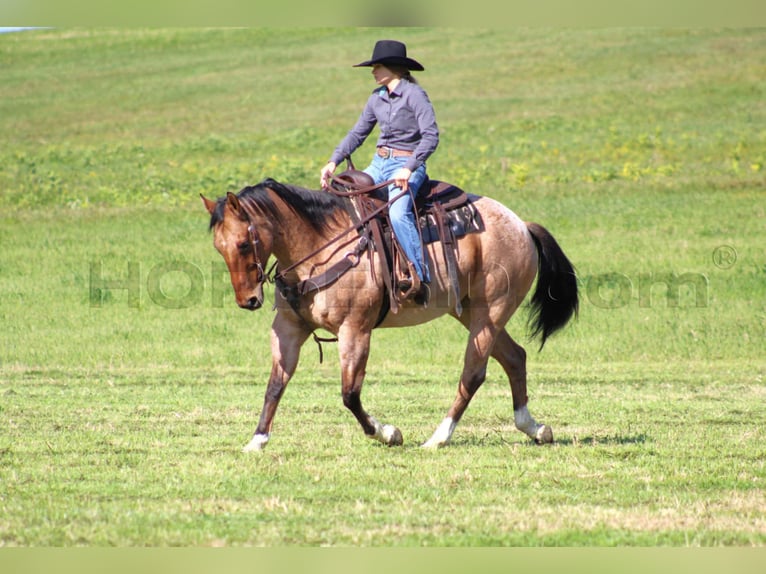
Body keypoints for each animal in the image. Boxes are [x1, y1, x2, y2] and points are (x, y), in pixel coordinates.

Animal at [201, 173, 580, 452]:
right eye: (218, 247)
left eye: (243, 244)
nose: (247, 300)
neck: (320, 246)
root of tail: (521, 225)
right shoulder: (289, 328)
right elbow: (275, 385)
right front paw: (257, 440)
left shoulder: (355, 330)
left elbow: (350, 394)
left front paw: (387, 433)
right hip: (469, 312)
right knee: (515, 357)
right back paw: (534, 428)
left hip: (491, 312)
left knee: (473, 373)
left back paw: (438, 438)